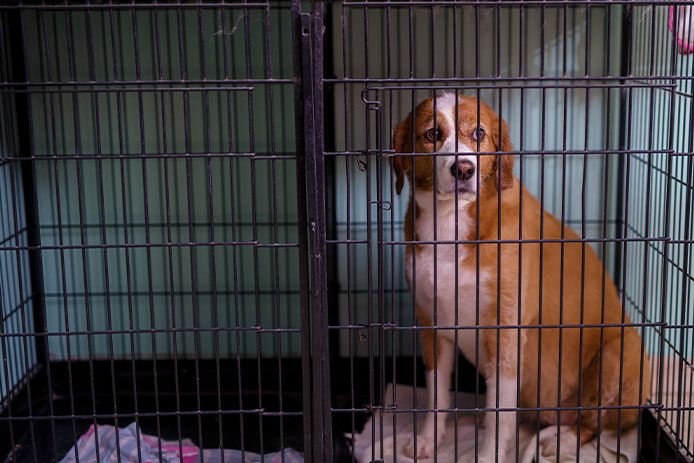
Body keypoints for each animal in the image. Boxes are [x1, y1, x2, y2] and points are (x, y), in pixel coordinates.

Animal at [394, 93, 656, 460]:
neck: (450, 223)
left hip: (622, 354)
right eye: (433, 134)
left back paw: (559, 441)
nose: (464, 169)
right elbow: (436, 396)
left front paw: (488, 456)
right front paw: (429, 439)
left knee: (593, 426)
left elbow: (499, 416)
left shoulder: (504, 333)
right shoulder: (432, 327)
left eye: (479, 133)